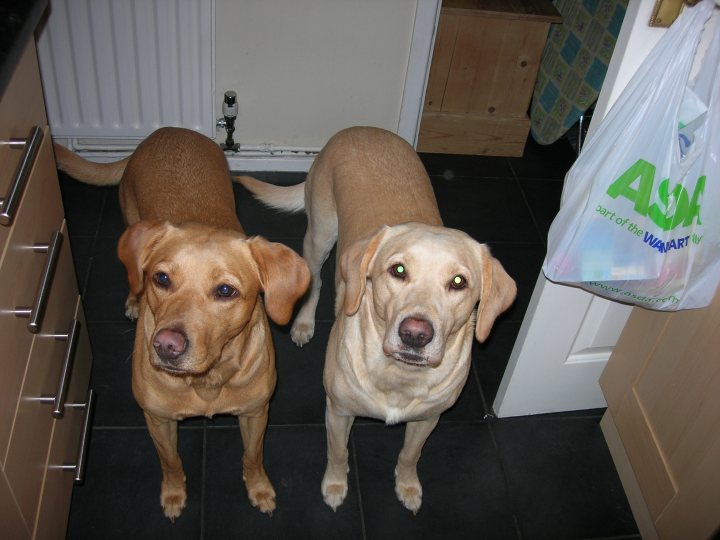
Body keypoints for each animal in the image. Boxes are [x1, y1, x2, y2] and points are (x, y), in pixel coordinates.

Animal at [240, 126, 516, 516]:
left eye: (459, 282)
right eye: (397, 270)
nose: (415, 335)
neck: (399, 376)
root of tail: (361, 129)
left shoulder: (428, 421)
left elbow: (409, 456)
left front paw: (408, 487)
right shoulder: (338, 412)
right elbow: (338, 454)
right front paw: (335, 487)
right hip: (320, 236)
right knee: (315, 281)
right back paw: (304, 324)